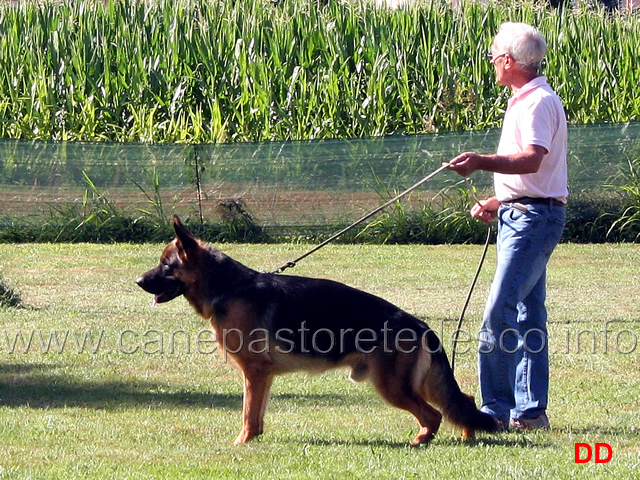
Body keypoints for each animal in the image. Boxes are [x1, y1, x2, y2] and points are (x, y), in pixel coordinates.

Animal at [136, 216, 500, 444]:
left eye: (166, 266)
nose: (138, 281)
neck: (229, 287)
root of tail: (420, 325)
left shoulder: (254, 370)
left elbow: (247, 414)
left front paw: (241, 443)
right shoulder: (262, 375)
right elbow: (258, 413)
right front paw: (254, 440)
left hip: (392, 386)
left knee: (434, 415)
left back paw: (420, 441)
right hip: (417, 382)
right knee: (462, 401)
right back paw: (467, 434)